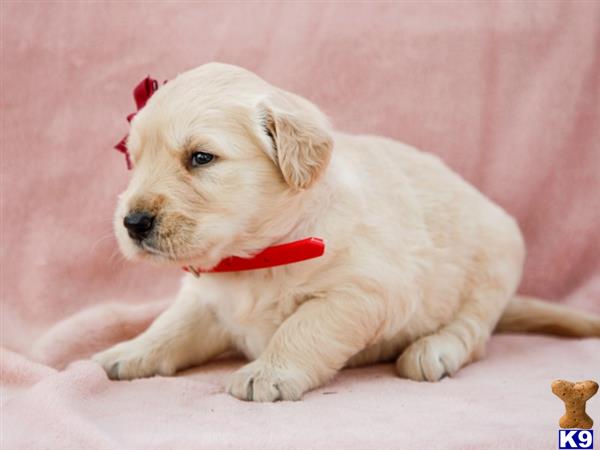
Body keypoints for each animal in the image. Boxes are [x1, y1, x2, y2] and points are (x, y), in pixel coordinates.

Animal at [93, 63, 600, 401]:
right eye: (133, 159)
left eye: (201, 157)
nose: (133, 223)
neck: (257, 257)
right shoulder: (207, 299)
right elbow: (171, 324)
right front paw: (129, 351)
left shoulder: (364, 291)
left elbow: (303, 327)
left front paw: (268, 373)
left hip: (495, 263)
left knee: (473, 329)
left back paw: (433, 349)